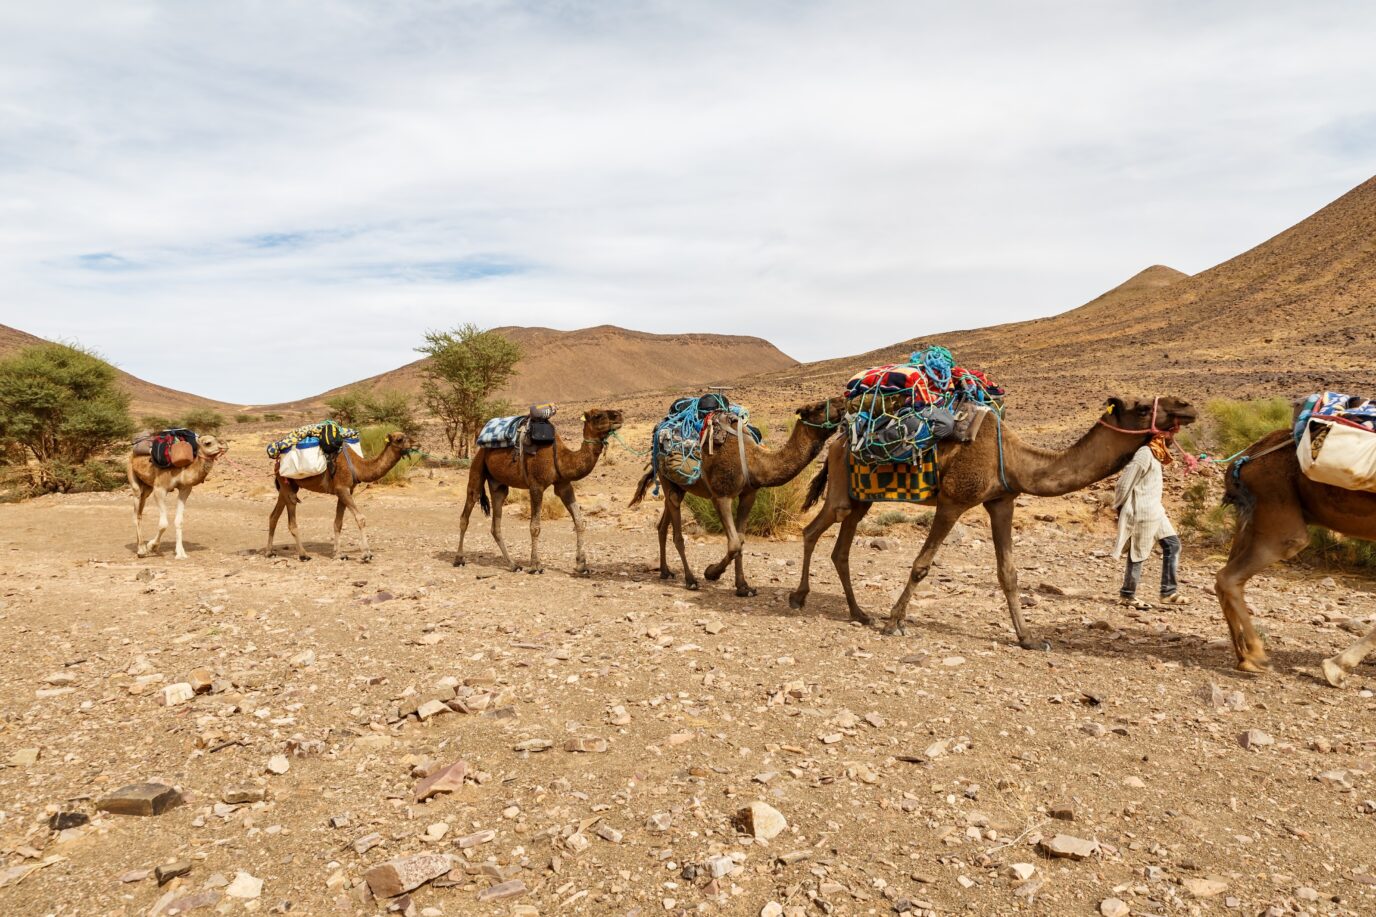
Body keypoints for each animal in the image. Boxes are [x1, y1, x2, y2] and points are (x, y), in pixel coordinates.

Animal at [265, 429, 407, 564]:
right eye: (399, 439)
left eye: (408, 436)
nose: (413, 444)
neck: (358, 466)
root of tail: (278, 462)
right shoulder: (342, 488)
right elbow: (360, 518)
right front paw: (366, 554)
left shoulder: (345, 491)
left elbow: (338, 523)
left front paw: (339, 554)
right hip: (286, 484)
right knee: (291, 519)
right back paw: (303, 555)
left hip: (287, 486)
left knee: (274, 516)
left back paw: (269, 552)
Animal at [451, 407, 624, 572]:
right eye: (598, 415)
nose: (619, 415)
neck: (559, 458)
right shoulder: (536, 485)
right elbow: (535, 527)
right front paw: (535, 566)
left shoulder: (563, 485)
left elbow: (579, 522)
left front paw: (581, 565)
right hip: (477, 466)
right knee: (466, 512)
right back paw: (459, 559)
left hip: (498, 484)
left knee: (496, 524)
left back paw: (513, 565)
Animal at [627, 396, 842, 597]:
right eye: (819, 406)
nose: (842, 401)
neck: (756, 461)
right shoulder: (721, 495)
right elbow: (734, 544)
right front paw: (711, 572)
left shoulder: (748, 495)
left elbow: (741, 540)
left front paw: (743, 587)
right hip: (666, 480)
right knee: (677, 533)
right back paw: (690, 580)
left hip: (679, 486)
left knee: (663, 525)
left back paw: (665, 571)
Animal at [792, 396, 1199, 647]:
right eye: (1143, 407)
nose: (1187, 406)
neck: (1015, 459)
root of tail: (838, 440)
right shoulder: (954, 500)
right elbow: (922, 565)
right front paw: (894, 623)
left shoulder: (1002, 501)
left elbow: (1009, 573)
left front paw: (1029, 638)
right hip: (843, 490)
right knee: (813, 529)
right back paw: (799, 598)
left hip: (861, 498)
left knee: (841, 549)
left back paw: (858, 613)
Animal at [1216, 426, 1376, 677]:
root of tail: (1242, 461)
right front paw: (1335, 669)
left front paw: (1338, 667)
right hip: (1282, 521)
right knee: (1228, 577)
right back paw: (1258, 656)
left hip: (1253, 520)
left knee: (1225, 578)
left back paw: (1244, 658)